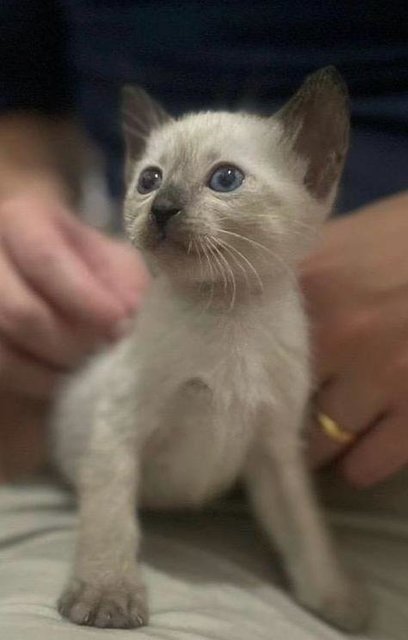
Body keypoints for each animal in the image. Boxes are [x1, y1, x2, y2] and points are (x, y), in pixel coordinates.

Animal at [53, 69, 366, 632]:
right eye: (149, 180)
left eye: (225, 180)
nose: (162, 209)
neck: (226, 316)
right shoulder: (118, 431)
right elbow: (111, 521)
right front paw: (107, 593)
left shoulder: (275, 451)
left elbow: (306, 531)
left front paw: (336, 599)